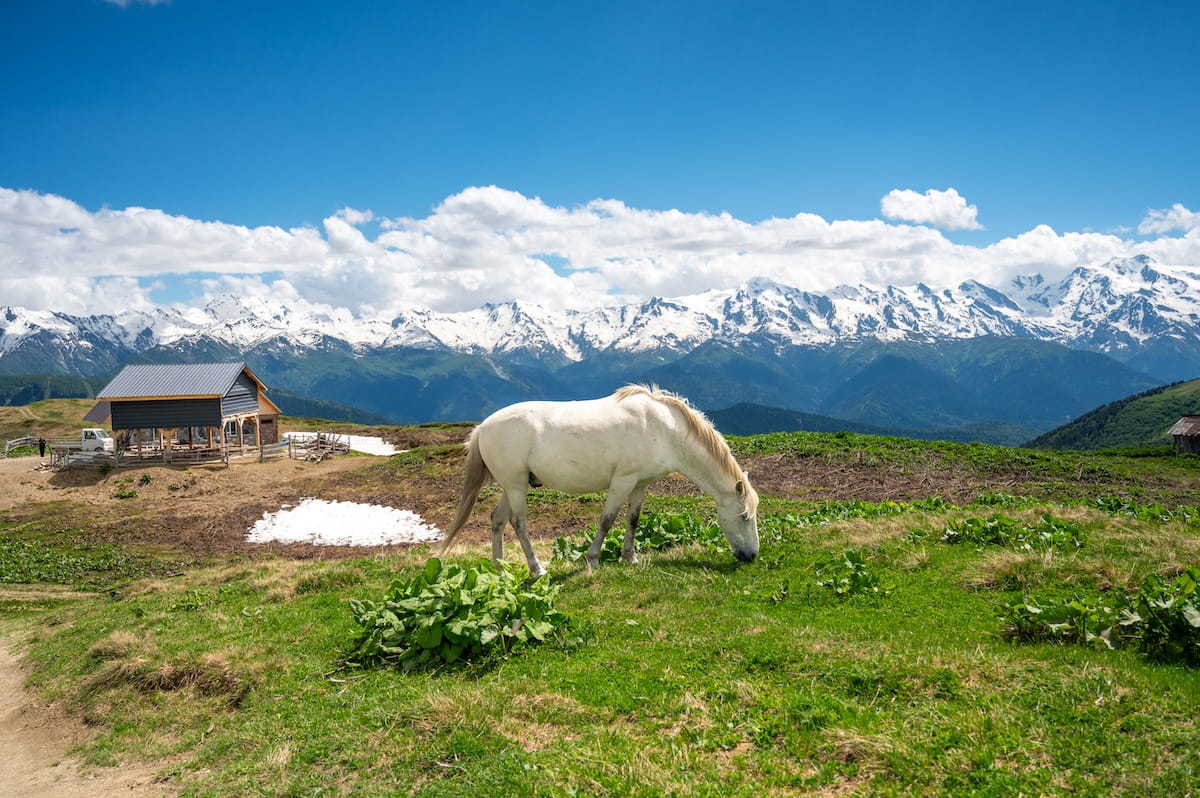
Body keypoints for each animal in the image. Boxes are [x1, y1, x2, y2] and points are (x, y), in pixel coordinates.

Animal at [436, 384, 759, 577]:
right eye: (744, 516)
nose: (752, 555)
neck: (664, 429)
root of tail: (483, 427)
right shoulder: (622, 481)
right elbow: (607, 520)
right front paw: (593, 559)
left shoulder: (640, 484)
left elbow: (633, 519)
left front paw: (630, 558)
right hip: (516, 486)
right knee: (518, 523)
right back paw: (536, 569)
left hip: (511, 485)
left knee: (498, 520)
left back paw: (501, 568)